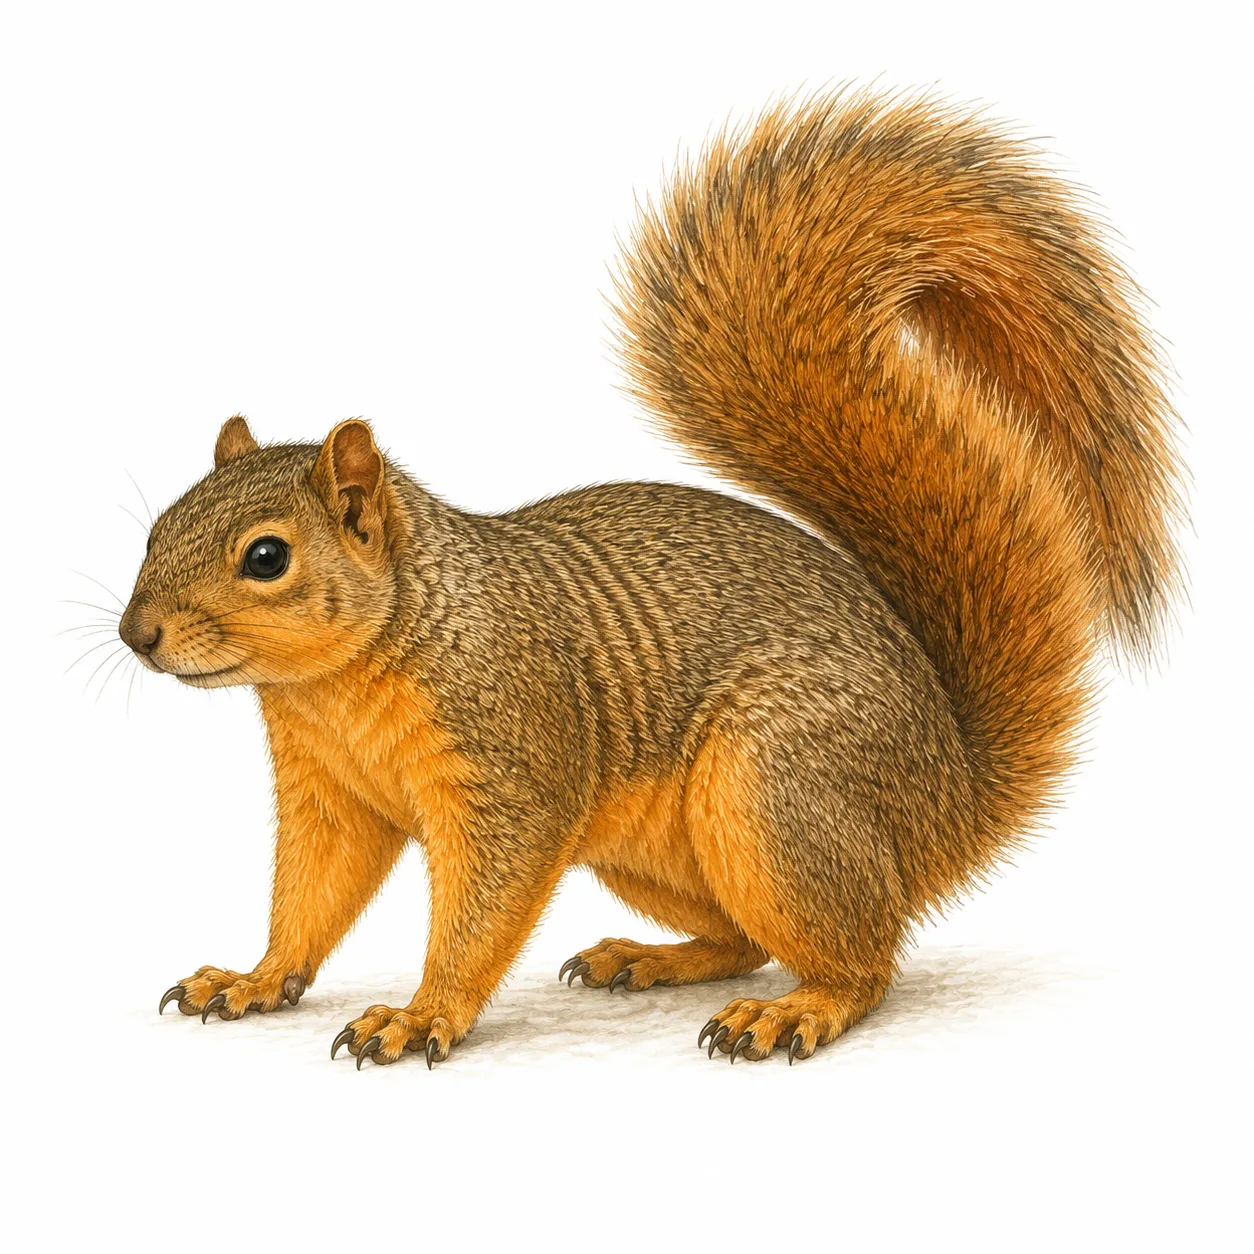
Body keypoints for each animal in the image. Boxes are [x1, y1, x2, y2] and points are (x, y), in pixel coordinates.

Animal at [121, 88, 1185, 1066]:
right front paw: (254, 978)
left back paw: (795, 1010)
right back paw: (648, 958)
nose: (136, 635)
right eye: (157, 526)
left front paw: (421, 1015)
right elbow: (312, 893)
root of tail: (949, 802)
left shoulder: (514, 759)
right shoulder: (326, 793)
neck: (335, 683)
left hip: (774, 790)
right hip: (665, 850)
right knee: (746, 939)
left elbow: (483, 906)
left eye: (266, 557)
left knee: (862, 959)